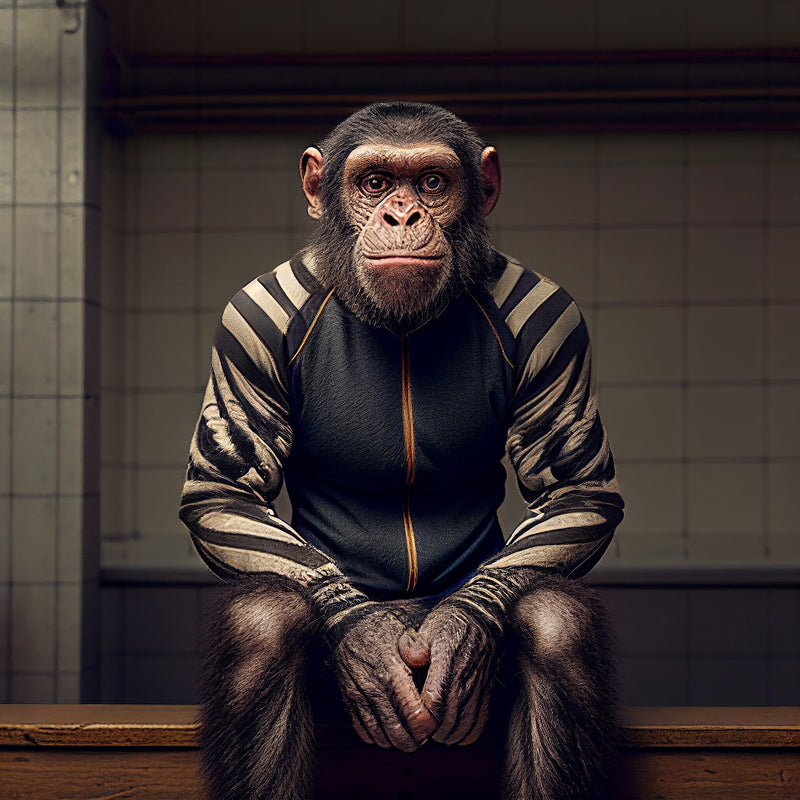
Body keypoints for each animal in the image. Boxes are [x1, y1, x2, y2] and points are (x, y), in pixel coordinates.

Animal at [180, 102, 625, 800]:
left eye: (433, 184)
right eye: (375, 182)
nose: (402, 216)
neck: (404, 328)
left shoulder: (558, 322)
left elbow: (573, 488)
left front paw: (464, 632)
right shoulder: (244, 325)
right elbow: (225, 490)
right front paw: (363, 642)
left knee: (558, 623)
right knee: (263, 623)